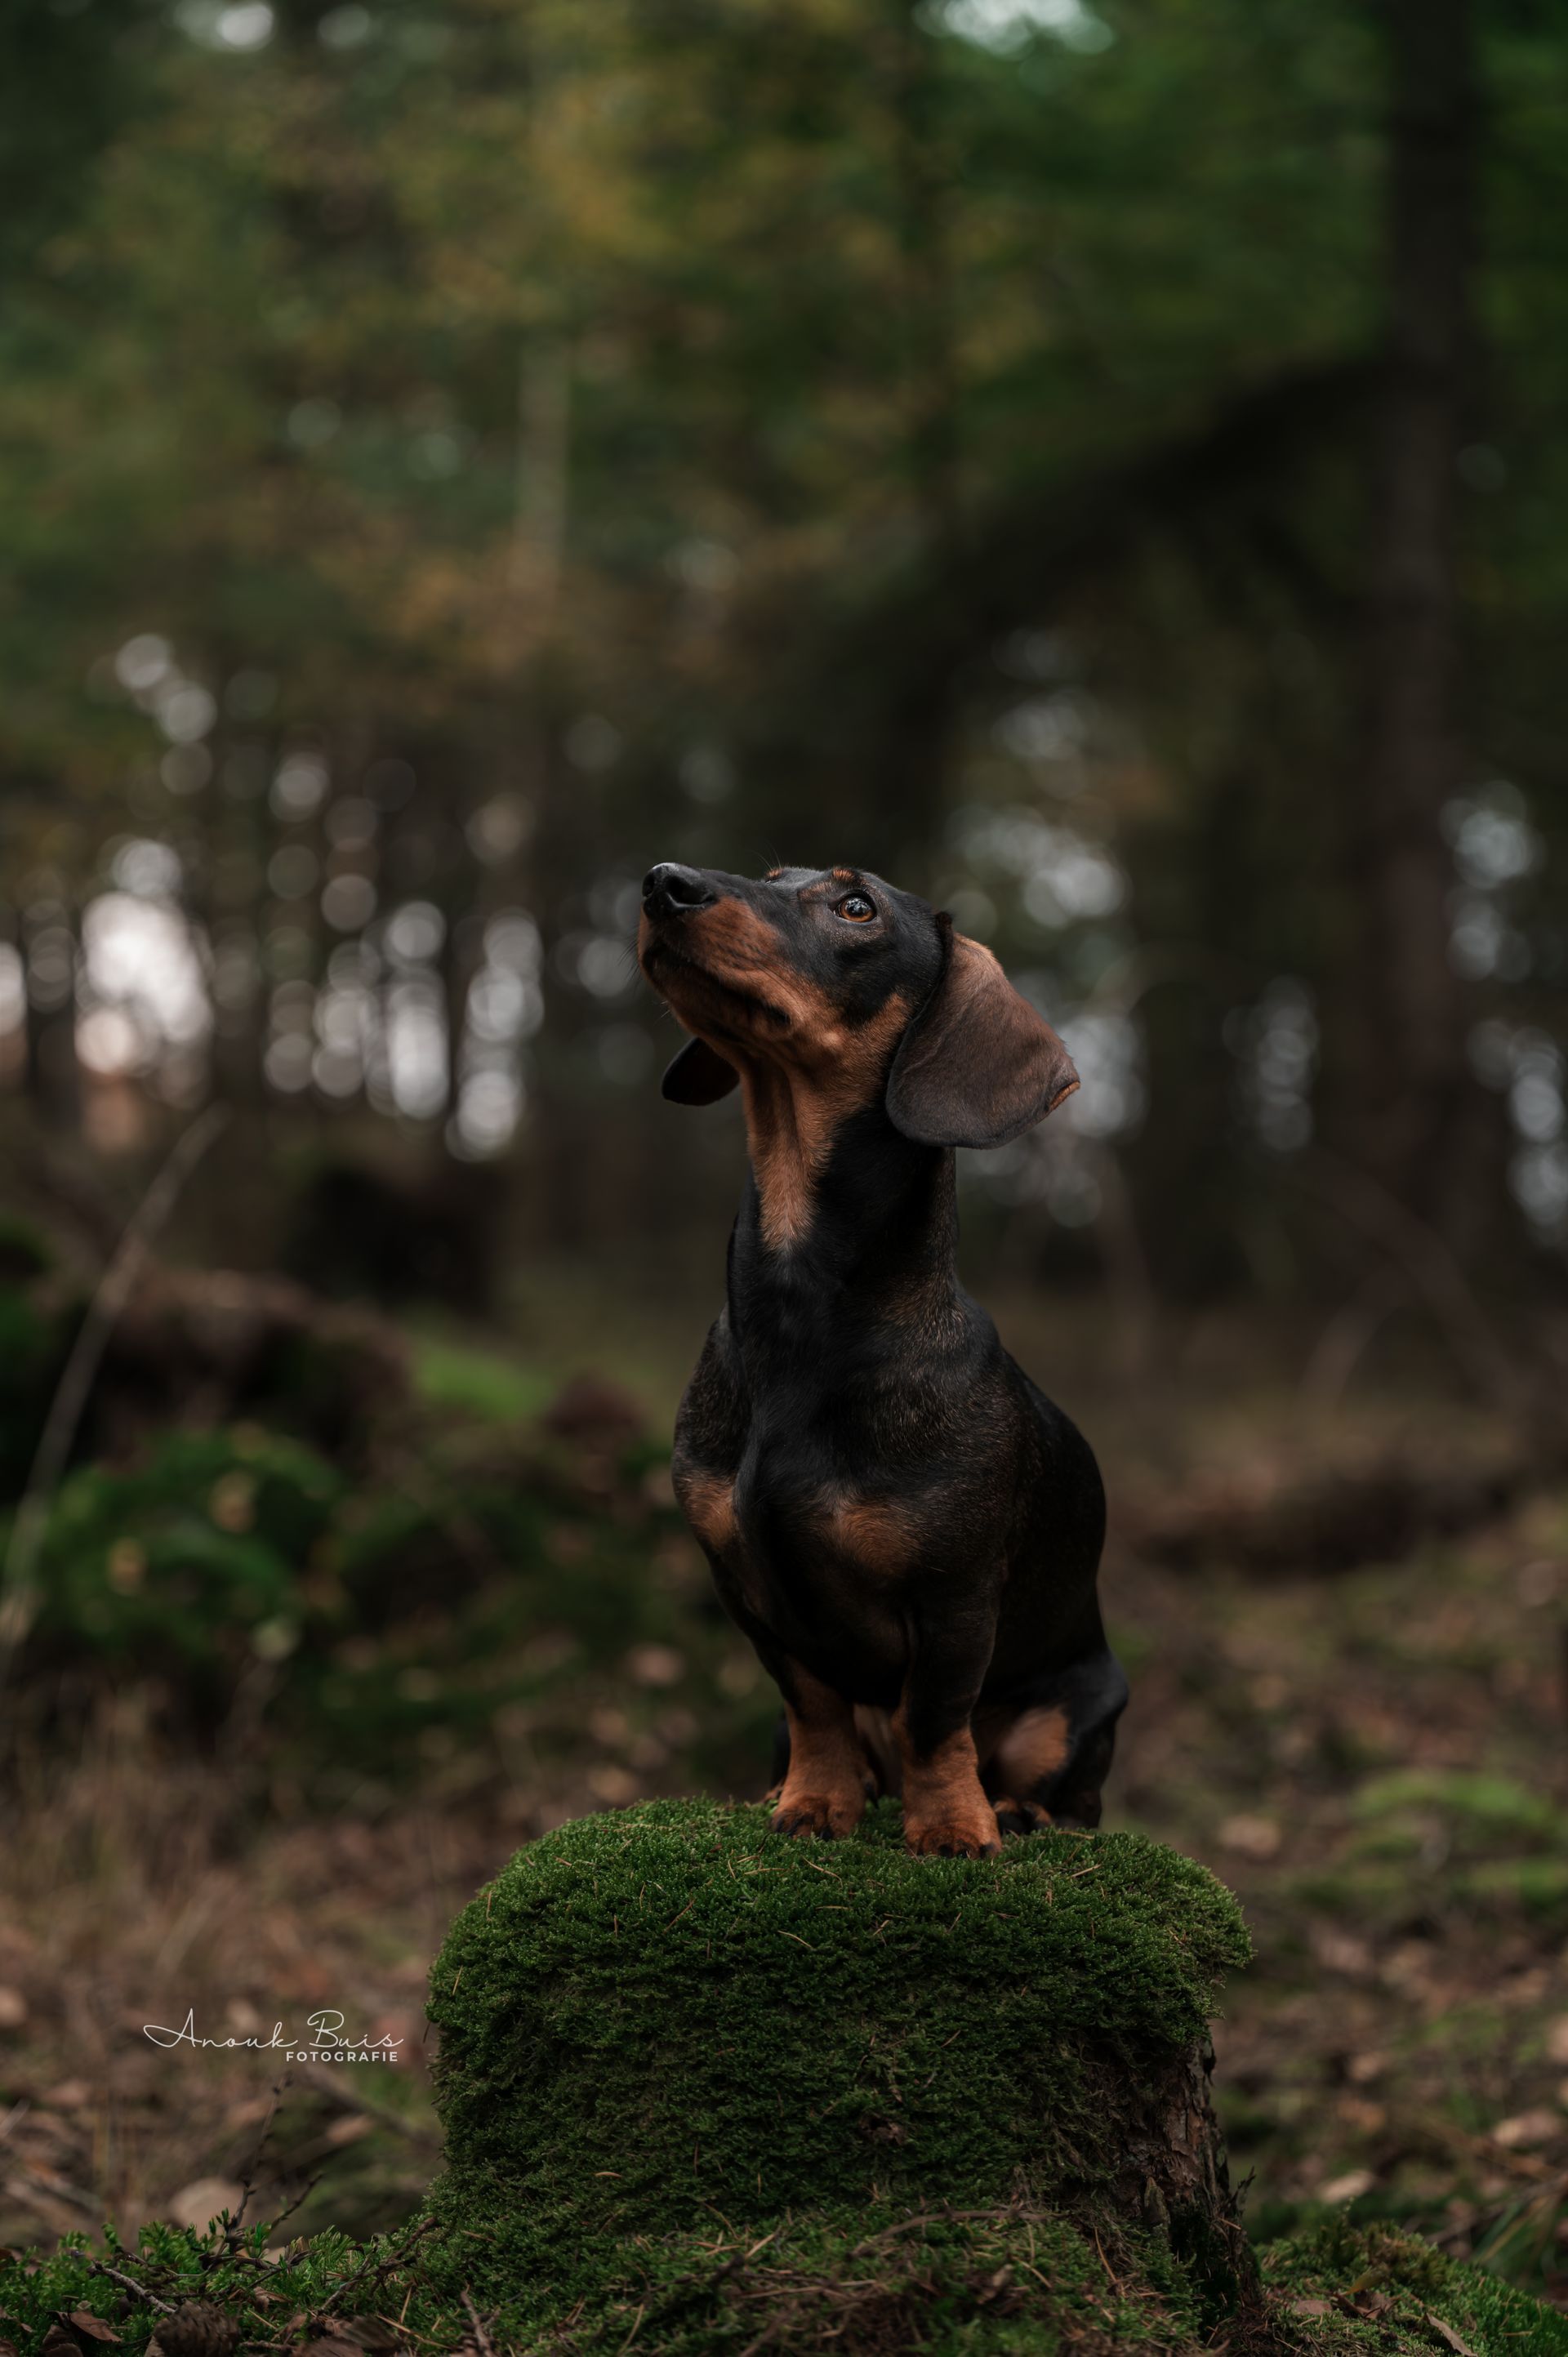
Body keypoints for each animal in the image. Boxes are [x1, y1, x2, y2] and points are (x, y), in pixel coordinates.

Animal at [638, 859, 1126, 1858]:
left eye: (855, 906)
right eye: (772, 873)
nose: (663, 881)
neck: (803, 1322)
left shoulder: (954, 1598)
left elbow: (935, 1719)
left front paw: (950, 1827)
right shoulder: (749, 1592)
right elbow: (815, 1705)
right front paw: (815, 1801)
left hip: (1082, 1705)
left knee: (1068, 1797)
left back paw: (1013, 1810)